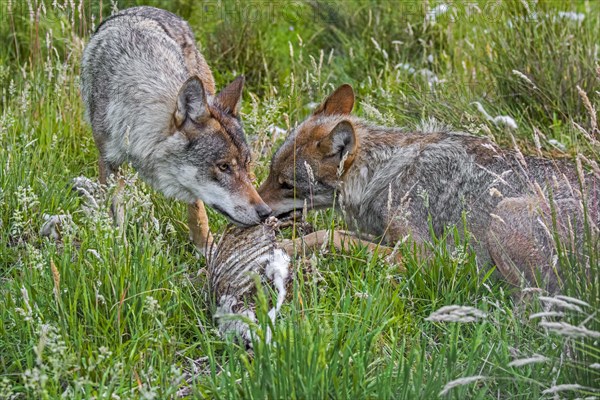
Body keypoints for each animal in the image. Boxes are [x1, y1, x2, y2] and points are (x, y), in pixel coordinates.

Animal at [79, 6, 270, 252]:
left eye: (244, 164)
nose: (265, 212)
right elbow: (115, 212)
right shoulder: (109, 161)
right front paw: (118, 249)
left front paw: (207, 249)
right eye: (224, 167)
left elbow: (197, 210)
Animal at [262, 84, 600, 290]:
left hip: (503, 215)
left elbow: (334, 238)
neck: (382, 174)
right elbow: (326, 234)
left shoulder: (423, 258)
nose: (259, 210)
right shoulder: (384, 236)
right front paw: (283, 248)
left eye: (286, 185)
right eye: (269, 174)